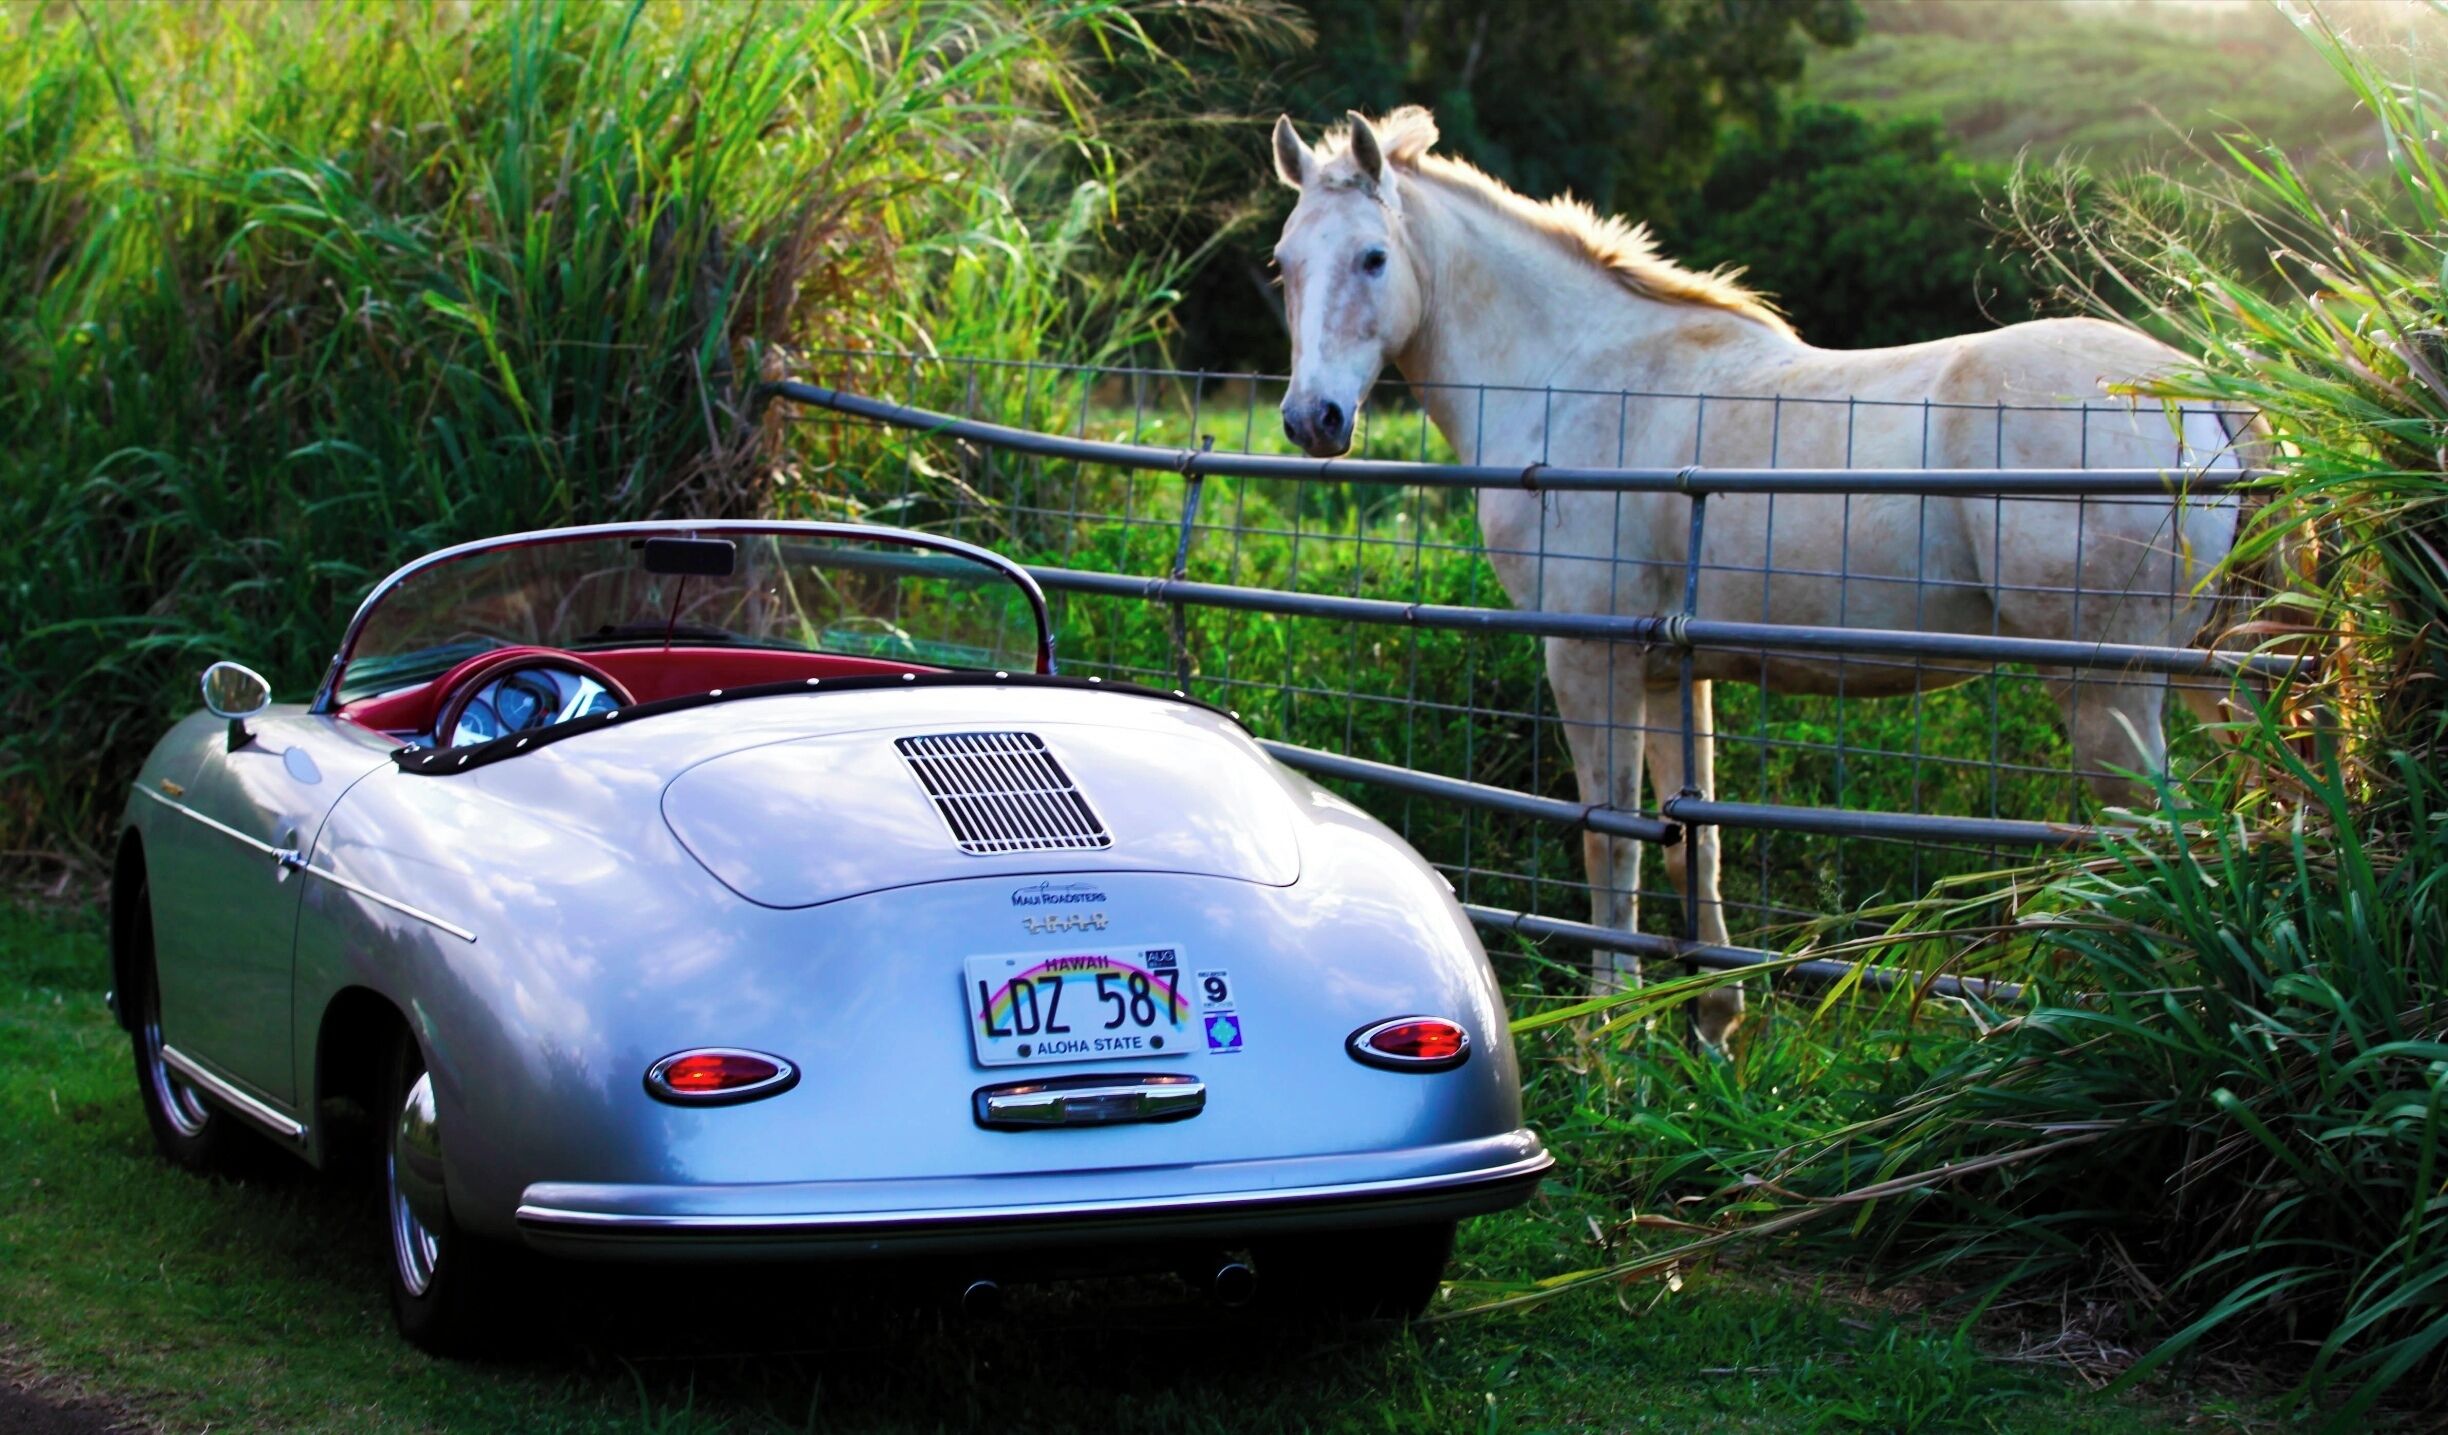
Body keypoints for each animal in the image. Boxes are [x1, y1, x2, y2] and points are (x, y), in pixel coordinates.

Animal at [1266, 107, 2245, 1044]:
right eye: (1282, 267)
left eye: (1373, 256)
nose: (1314, 419)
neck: (1579, 381)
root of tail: (2197, 389)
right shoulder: (1672, 671)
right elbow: (1689, 847)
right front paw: (1710, 1029)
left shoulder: (1588, 658)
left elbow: (1610, 847)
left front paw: (1605, 1044)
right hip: (2214, 673)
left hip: (2110, 691)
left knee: (2159, 847)